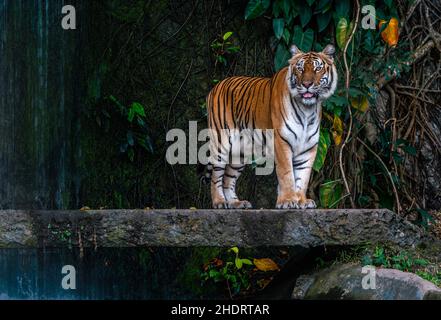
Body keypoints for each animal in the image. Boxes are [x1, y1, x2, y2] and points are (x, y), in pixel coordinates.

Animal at [202, 44, 336, 210]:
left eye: (318, 69)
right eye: (300, 69)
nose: (306, 85)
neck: (307, 110)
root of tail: (216, 86)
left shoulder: (308, 147)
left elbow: (303, 177)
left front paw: (301, 201)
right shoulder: (282, 142)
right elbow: (286, 173)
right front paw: (287, 201)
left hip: (240, 152)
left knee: (228, 179)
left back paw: (236, 203)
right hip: (222, 142)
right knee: (216, 176)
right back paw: (219, 202)